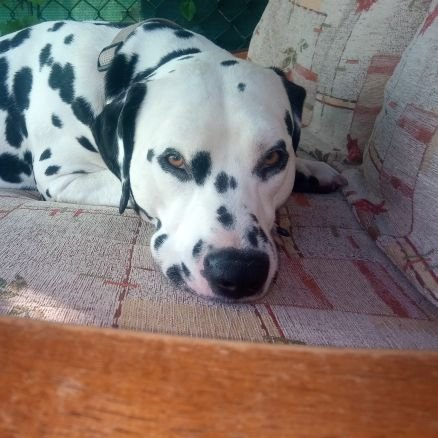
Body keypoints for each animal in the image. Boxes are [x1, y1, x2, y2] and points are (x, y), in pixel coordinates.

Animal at [0, 19, 346, 302]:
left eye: (274, 157)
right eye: (175, 160)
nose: (239, 271)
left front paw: (311, 169)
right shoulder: (62, 178)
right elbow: (125, 187)